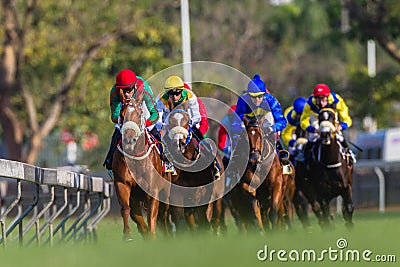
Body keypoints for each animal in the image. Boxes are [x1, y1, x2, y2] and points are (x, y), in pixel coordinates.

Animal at [111, 96, 170, 241]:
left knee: (163, 215)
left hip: (165, 192)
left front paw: (152, 235)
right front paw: (127, 234)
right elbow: (126, 209)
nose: (129, 139)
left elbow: (152, 213)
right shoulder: (122, 183)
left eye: (138, 115)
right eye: (122, 115)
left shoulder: (153, 189)